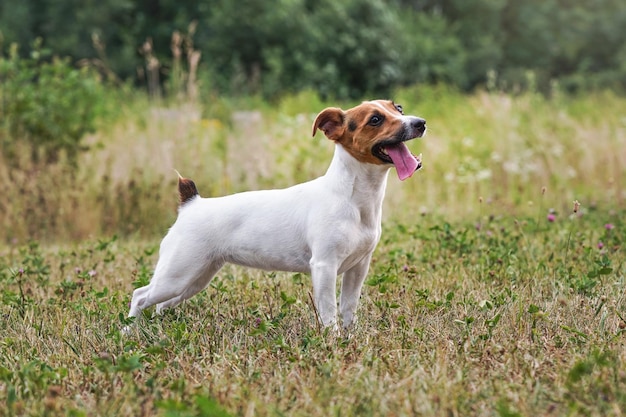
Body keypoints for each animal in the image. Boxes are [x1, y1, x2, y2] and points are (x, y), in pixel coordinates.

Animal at [125, 99, 424, 330]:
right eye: (375, 119)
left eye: (398, 107)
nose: (420, 122)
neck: (353, 198)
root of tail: (191, 204)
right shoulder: (324, 267)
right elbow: (329, 314)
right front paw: (334, 343)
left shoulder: (358, 268)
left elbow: (348, 309)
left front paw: (351, 340)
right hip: (178, 273)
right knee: (140, 295)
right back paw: (130, 331)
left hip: (195, 277)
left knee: (161, 304)